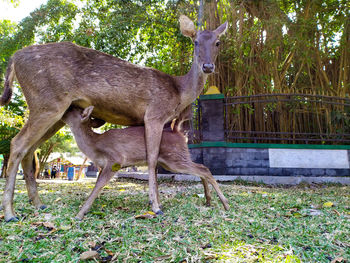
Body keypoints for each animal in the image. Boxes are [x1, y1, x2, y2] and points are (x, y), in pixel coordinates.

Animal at [61, 106, 228, 220]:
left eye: (73, 110)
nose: (65, 109)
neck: (94, 146)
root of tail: (178, 132)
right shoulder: (102, 166)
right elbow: (97, 184)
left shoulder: (116, 159)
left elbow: (99, 185)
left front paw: (80, 214)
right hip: (172, 160)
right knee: (201, 169)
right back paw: (208, 200)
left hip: (175, 159)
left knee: (204, 169)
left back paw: (225, 204)